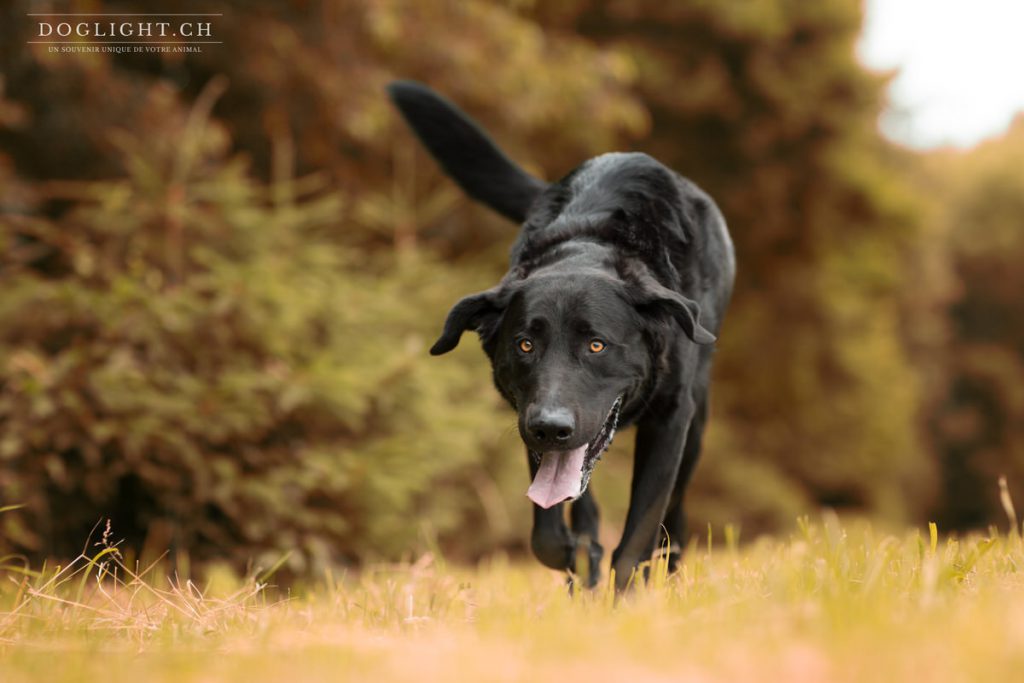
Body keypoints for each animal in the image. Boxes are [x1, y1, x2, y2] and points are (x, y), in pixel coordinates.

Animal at [387, 82, 733, 589]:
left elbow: (638, 538)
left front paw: (630, 596)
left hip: (696, 422)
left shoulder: (671, 418)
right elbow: (547, 535)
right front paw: (580, 558)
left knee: (675, 511)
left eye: (597, 345)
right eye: (525, 344)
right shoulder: (528, 415)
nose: (551, 426)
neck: (590, 243)